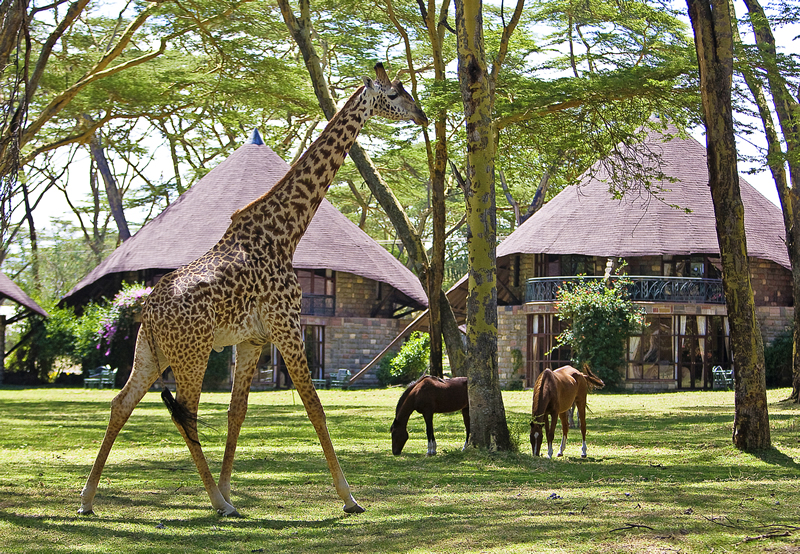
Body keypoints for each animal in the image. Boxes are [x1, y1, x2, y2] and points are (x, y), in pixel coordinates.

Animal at [79, 64, 432, 516]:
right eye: (396, 93)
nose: (422, 115)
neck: (285, 233)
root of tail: (150, 311)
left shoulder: (252, 339)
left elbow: (237, 412)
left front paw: (229, 487)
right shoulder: (287, 325)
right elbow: (314, 405)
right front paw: (349, 497)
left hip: (150, 352)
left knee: (122, 403)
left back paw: (89, 499)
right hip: (192, 354)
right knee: (185, 413)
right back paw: (217, 504)